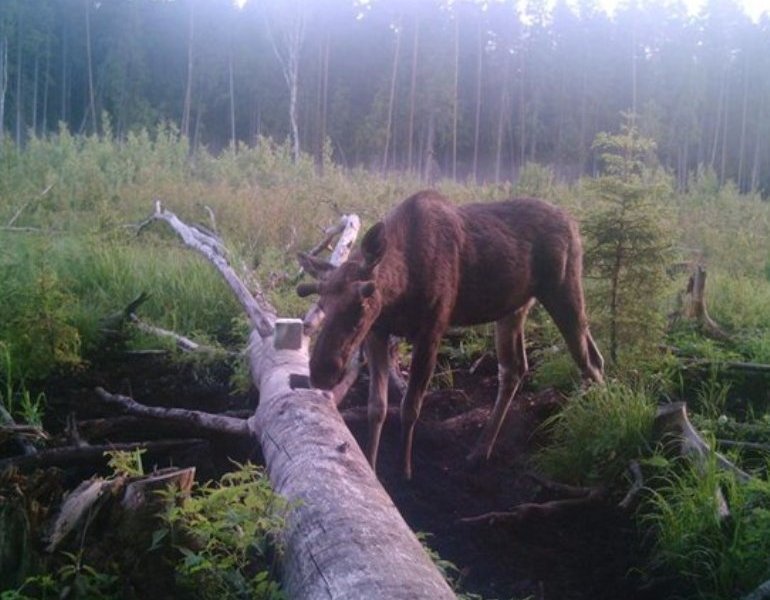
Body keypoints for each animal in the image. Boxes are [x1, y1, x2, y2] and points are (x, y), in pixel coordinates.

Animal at [296, 190, 604, 480]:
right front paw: (372, 468)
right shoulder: (377, 333)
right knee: (515, 368)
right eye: (321, 303)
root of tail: (573, 222)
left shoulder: (432, 330)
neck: (400, 290)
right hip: (513, 309)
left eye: (363, 301)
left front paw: (404, 470)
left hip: (563, 288)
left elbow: (410, 406)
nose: (321, 371)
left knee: (591, 360)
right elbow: (377, 407)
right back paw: (480, 450)